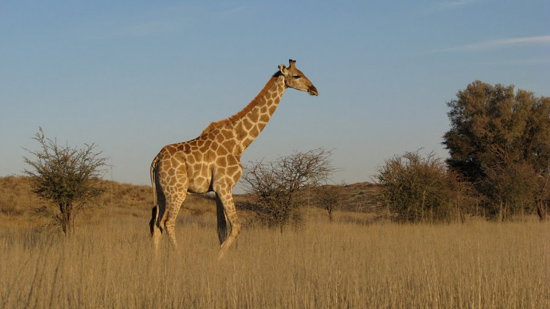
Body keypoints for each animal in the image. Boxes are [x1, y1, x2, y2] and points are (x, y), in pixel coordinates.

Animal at [150, 59, 320, 258]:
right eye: (296, 76)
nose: (314, 89)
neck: (240, 142)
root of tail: (156, 159)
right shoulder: (224, 185)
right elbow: (236, 226)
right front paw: (217, 259)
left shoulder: (218, 189)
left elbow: (221, 229)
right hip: (177, 190)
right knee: (167, 222)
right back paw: (179, 257)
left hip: (162, 191)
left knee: (157, 223)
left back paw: (156, 260)